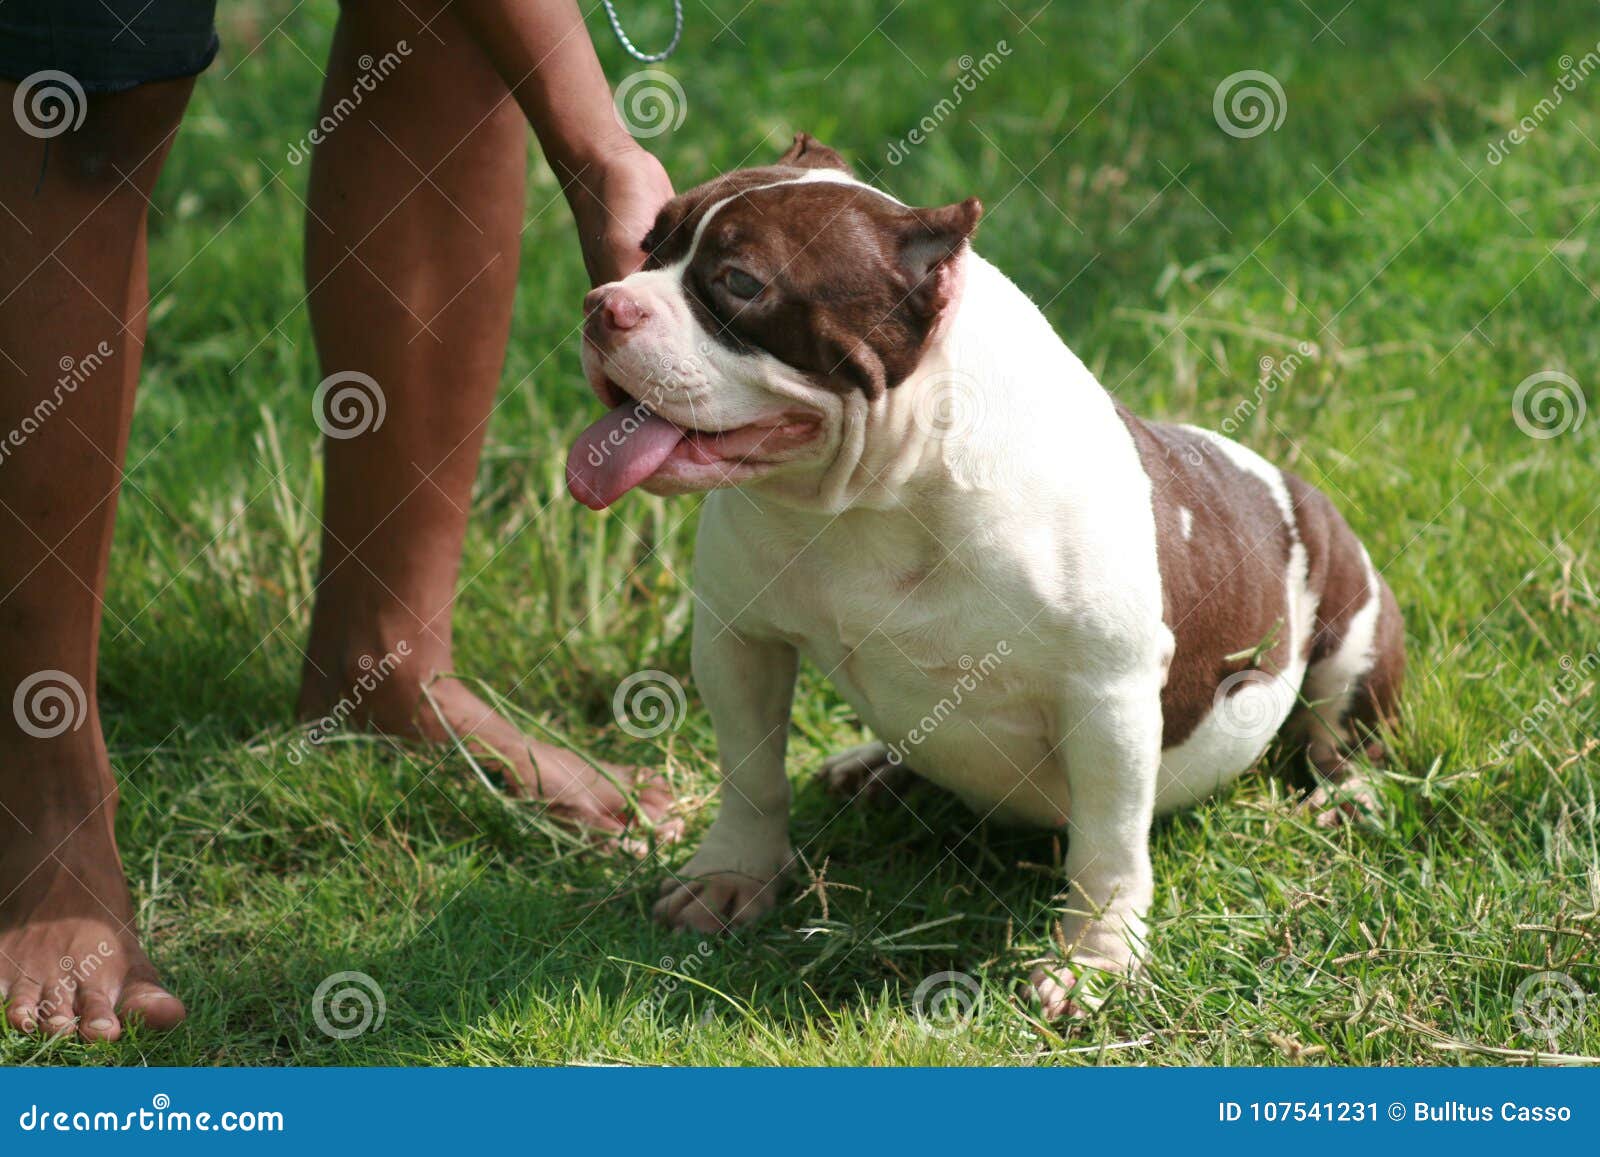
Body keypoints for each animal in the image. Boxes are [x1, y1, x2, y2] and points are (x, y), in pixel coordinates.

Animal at [563, 140, 1401, 1017]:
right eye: (646, 245)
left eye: (740, 282)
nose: (602, 304)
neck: (876, 495)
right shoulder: (739, 637)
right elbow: (751, 776)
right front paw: (731, 877)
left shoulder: (1105, 698)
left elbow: (1106, 845)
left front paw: (1095, 958)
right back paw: (876, 766)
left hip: (1353, 623)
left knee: (1335, 727)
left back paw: (1346, 794)